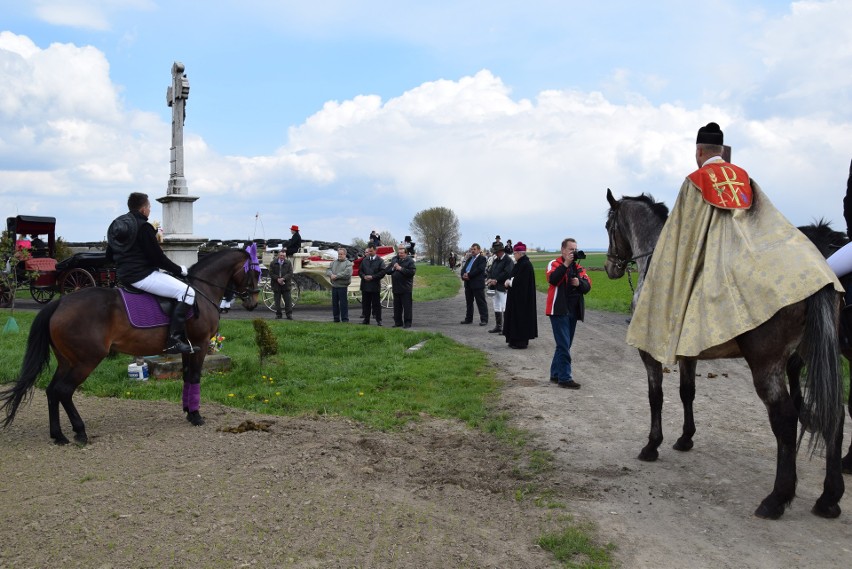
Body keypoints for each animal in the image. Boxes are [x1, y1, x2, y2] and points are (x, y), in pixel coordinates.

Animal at [0, 248, 260, 444]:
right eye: (256, 272)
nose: (254, 302)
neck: (201, 290)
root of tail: (61, 302)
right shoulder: (201, 344)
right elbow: (195, 377)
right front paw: (196, 416)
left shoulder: (188, 347)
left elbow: (187, 377)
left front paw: (188, 411)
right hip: (86, 360)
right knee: (64, 391)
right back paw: (80, 432)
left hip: (66, 360)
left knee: (52, 391)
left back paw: (58, 436)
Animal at [604, 189, 844, 516]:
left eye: (608, 226)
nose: (610, 267)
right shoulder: (687, 355)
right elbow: (687, 393)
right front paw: (685, 438)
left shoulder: (649, 352)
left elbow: (656, 397)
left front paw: (652, 445)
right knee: (836, 413)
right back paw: (829, 497)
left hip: (767, 365)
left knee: (785, 418)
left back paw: (777, 498)